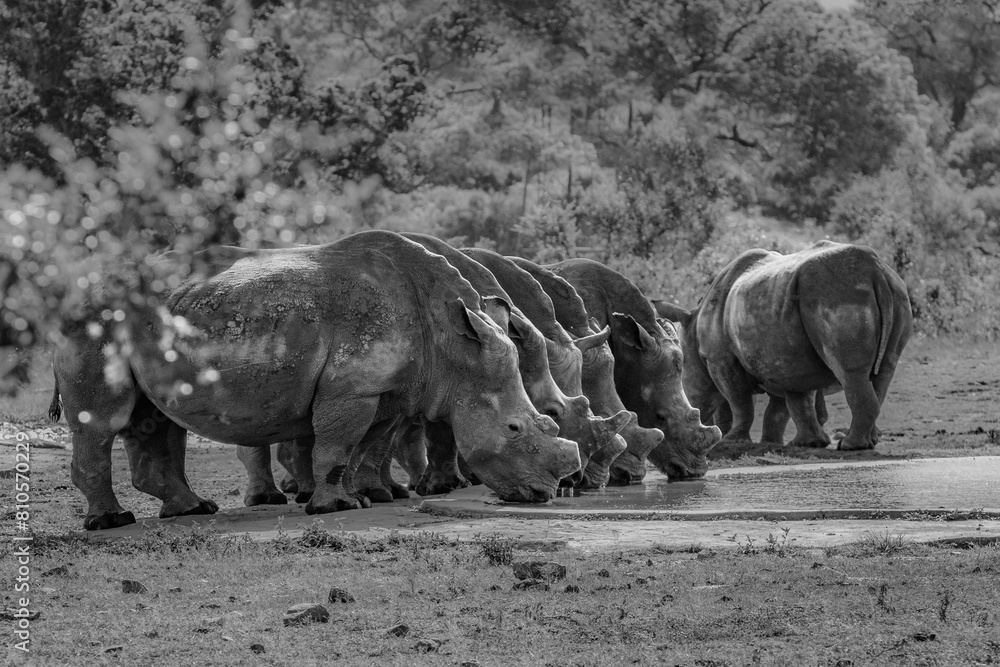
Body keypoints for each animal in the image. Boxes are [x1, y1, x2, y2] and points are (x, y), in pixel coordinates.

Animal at [53, 230, 580, 529]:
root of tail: (79, 288)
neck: (454, 346)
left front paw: (367, 496)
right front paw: (335, 509)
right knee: (104, 420)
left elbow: (368, 446)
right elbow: (337, 444)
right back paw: (110, 522)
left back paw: (193, 510)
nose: (548, 492)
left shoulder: (389, 391)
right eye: (515, 429)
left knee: (153, 419)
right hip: (97, 321)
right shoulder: (354, 387)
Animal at [654, 241, 913, 451]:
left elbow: (739, 401)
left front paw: (731, 440)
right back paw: (867, 442)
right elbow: (789, 404)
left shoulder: (720, 357)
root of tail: (875, 270)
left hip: (836, 294)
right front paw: (796, 443)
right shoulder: (783, 358)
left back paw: (850, 446)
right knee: (883, 371)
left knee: (851, 373)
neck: (694, 328)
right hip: (894, 293)